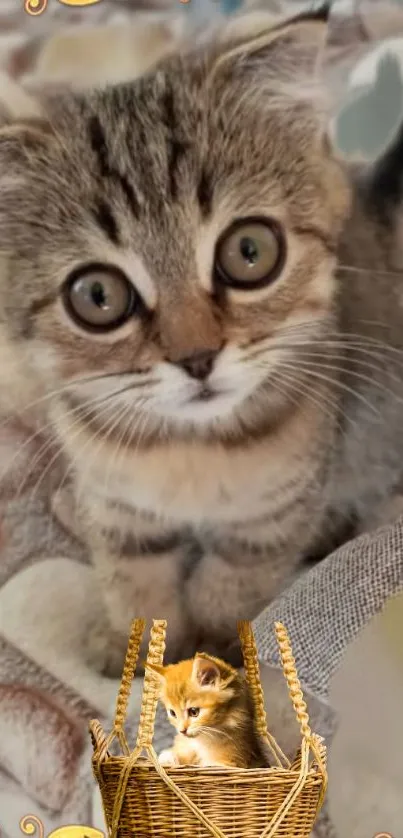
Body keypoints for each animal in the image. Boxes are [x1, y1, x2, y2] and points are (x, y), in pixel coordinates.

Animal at [0, 8, 403, 676]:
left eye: (250, 251)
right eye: (98, 296)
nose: (197, 358)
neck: (189, 452)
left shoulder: (270, 519)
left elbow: (230, 586)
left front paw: (213, 659)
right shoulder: (118, 509)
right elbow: (132, 582)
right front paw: (131, 648)